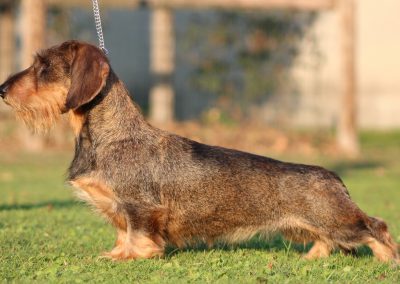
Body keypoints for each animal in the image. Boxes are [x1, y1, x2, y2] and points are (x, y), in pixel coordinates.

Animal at [1, 41, 398, 262]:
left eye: (43, 67)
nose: (2, 90)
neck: (114, 136)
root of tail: (334, 177)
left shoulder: (140, 208)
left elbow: (139, 235)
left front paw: (131, 256)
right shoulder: (119, 209)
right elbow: (122, 232)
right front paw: (116, 253)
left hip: (340, 220)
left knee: (375, 226)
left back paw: (386, 259)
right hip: (314, 227)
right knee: (330, 241)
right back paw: (314, 258)